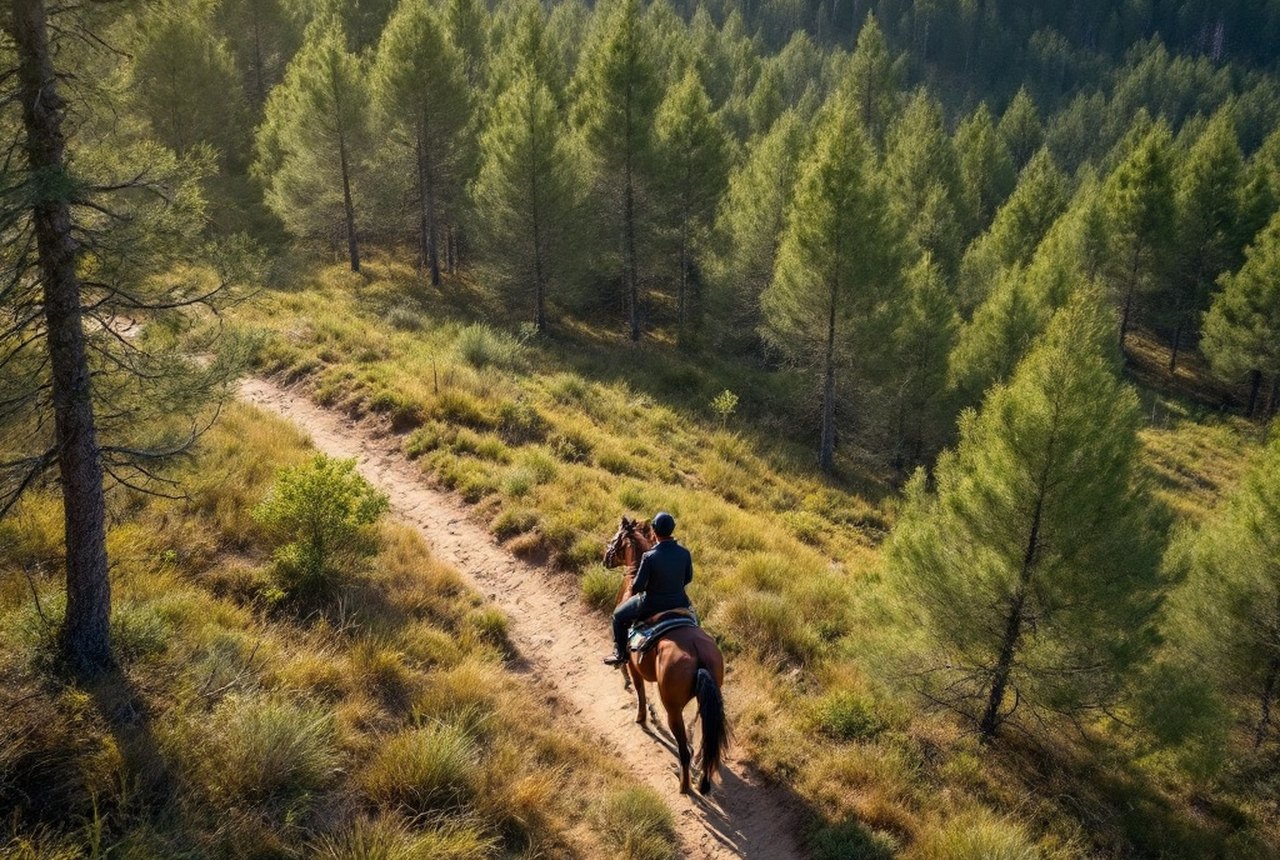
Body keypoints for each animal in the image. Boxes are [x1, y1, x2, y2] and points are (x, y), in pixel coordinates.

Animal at [603, 516, 729, 795]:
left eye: (616, 538)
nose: (604, 557)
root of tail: (698, 655)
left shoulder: (634, 664)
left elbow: (638, 689)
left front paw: (640, 717)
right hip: (704, 703)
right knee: (705, 745)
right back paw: (702, 779)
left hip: (673, 708)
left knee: (684, 749)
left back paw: (683, 785)